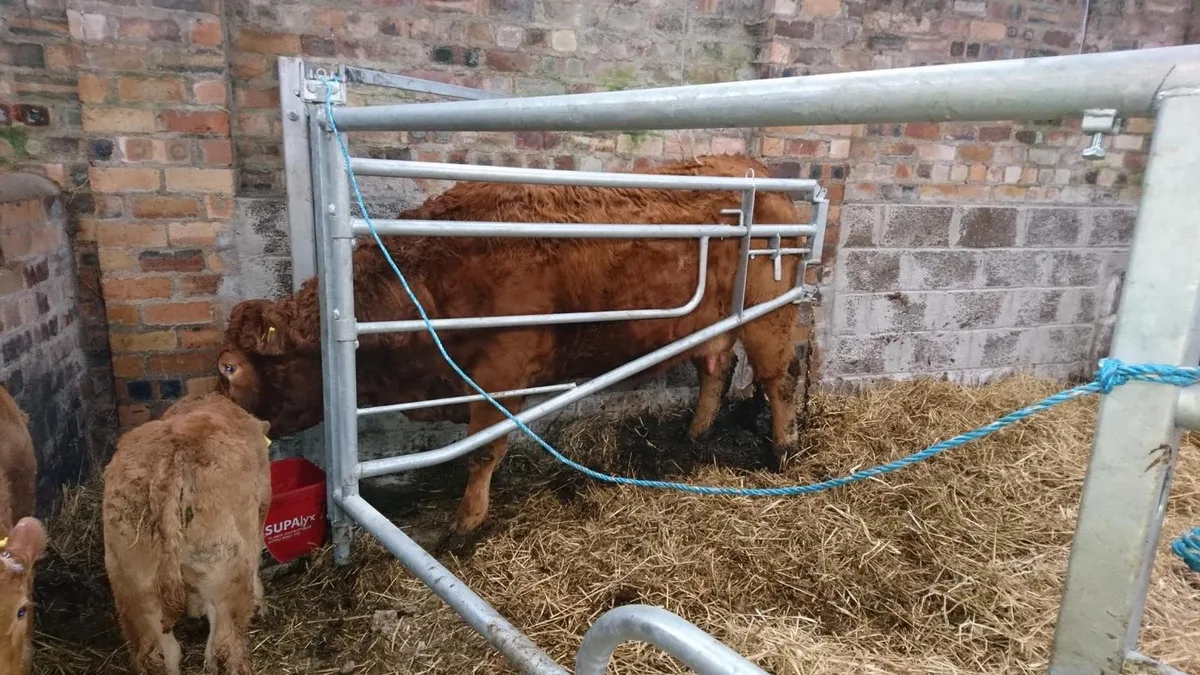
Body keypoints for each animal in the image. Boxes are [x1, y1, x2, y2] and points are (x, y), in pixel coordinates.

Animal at [102, 391, 272, 667]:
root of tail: (170, 463)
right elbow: (257, 563)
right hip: (224, 565)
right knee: (224, 646)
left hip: (131, 579)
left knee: (159, 653)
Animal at [220, 154, 811, 550]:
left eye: (229, 369)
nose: (236, 434)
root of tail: (758, 170)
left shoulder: (501, 373)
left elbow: (483, 450)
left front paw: (464, 526)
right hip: (716, 321)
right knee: (716, 367)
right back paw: (693, 436)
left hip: (770, 311)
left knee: (778, 379)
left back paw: (782, 452)